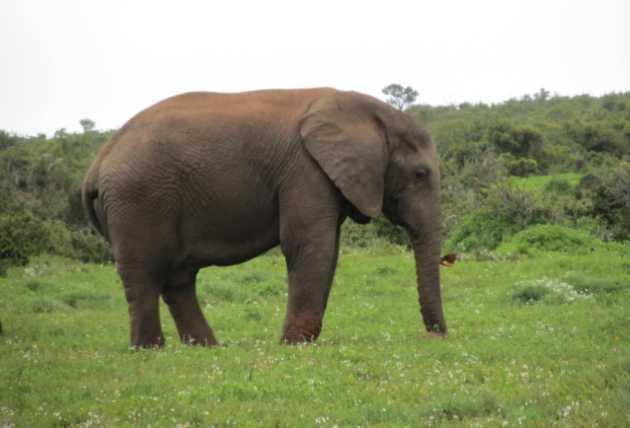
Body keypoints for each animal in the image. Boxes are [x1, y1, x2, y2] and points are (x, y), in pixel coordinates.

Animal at [82, 88, 450, 348]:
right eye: (420, 174)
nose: (434, 336)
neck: (366, 111)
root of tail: (97, 164)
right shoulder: (305, 170)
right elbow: (309, 244)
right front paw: (294, 345)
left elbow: (327, 249)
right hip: (139, 198)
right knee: (145, 275)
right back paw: (150, 350)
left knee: (178, 278)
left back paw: (208, 348)